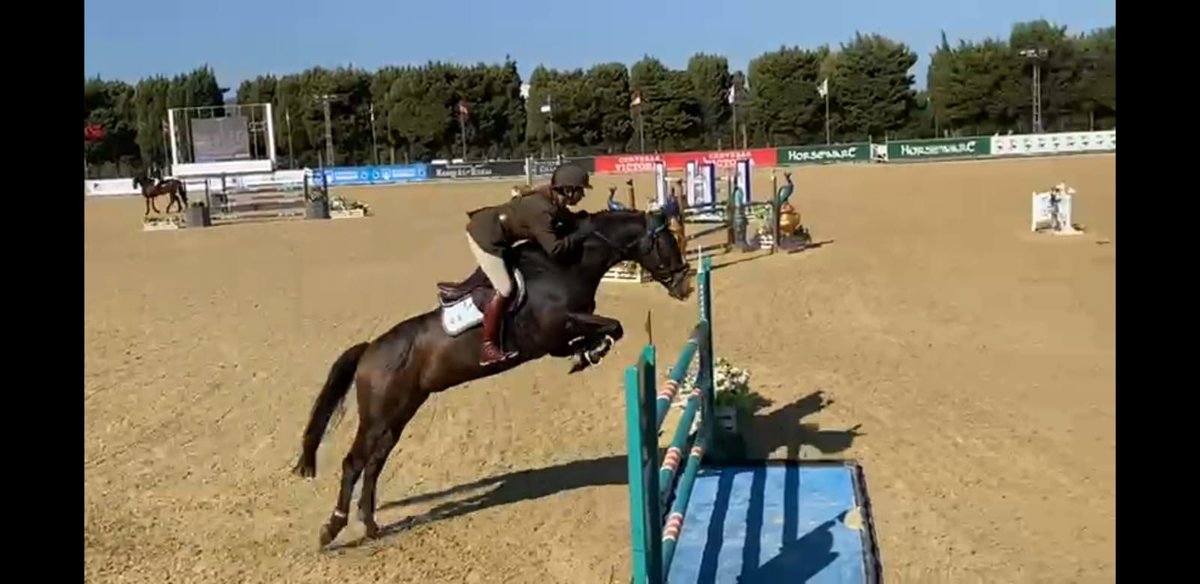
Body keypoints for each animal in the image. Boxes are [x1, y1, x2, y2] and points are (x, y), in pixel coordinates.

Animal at [290, 207, 696, 549]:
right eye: (666, 242)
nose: (685, 286)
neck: (564, 266)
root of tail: (370, 350)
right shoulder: (554, 329)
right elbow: (612, 326)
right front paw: (591, 352)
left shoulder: (558, 338)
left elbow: (611, 329)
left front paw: (587, 353)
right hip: (377, 416)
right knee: (354, 463)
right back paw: (332, 529)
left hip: (399, 415)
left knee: (374, 464)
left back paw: (371, 525)